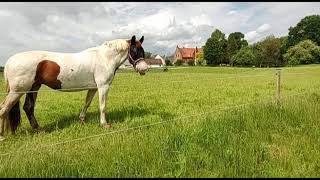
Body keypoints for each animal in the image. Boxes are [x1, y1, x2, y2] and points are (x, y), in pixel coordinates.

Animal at [0, 34, 148, 140]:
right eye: (134, 50)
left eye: (142, 50)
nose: (144, 69)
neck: (104, 58)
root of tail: (9, 61)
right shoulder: (103, 87)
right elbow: (102, 106)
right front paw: (104, 124)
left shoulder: (93, 88)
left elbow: (87, 103)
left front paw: (82, 120)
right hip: (17, 91)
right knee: (4, 109)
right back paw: (2, 137)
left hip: (33, 88)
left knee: (28, 108)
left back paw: (39, 130)